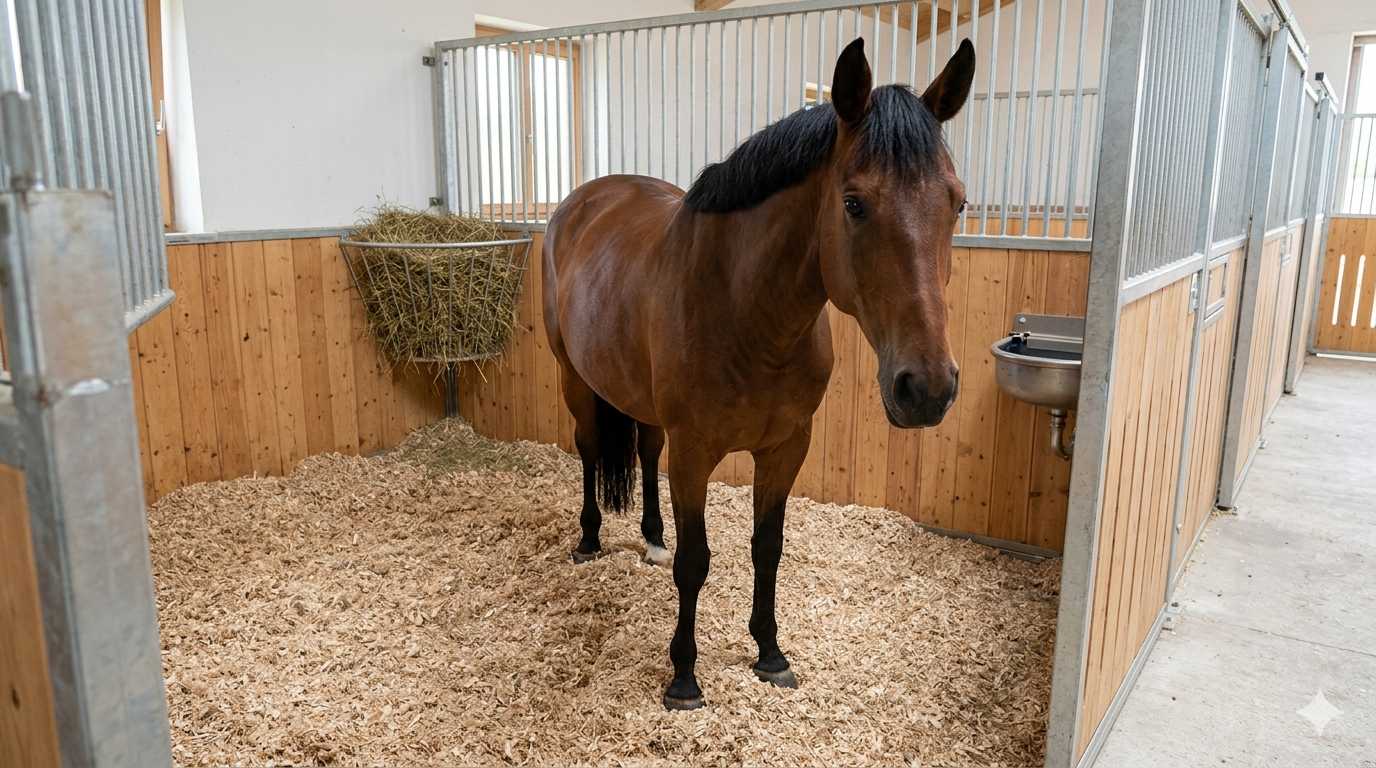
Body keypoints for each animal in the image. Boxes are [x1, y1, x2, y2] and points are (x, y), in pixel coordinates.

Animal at [542, 37, 976, 711]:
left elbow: (767, 549)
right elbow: (696, 561)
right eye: (854, 203)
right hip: (575, 379)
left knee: (644, 449)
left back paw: (651, 538)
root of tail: (582, 202)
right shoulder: (695, 454)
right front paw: (684, 677)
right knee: (590, 451)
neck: (746, 310)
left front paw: (770, 652)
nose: (927, 388)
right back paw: (589, 541)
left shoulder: (786, 447)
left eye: (957, 202)